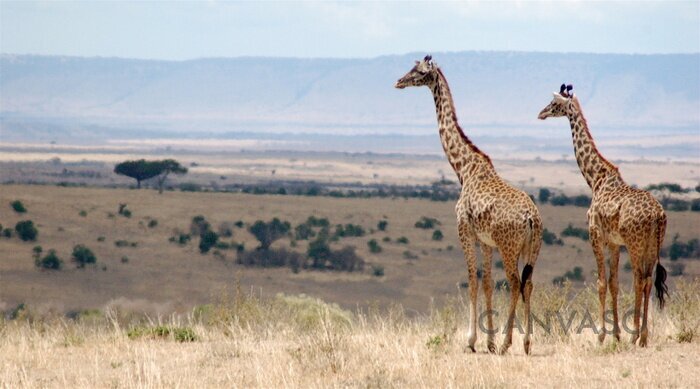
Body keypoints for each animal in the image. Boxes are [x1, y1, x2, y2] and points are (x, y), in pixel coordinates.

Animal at [394, 55, 540, 354]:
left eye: (419, 71)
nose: (399, 81)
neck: (464, 169)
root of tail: (532, 218)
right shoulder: (486, 241)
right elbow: (487, 283)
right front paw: (489, 341)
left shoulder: (464, 230)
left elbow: (472, 281)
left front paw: (473, 341)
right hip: (531, 249)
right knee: (528, 283)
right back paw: (526, 342)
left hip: (509, 247)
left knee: (514, 282)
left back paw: (508, 342)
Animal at [540, 84, 668, 346]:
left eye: (554, 103)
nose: (541, 113)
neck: (595, 179)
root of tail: (658, 216)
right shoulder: (614, 242)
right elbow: (614, 283)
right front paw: (616, 334)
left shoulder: (595, 235)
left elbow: (600, 283)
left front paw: (601, 335)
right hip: (653, 244)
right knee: (648, 280)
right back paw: (643, 337)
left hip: (635, 243)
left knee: (639, 279)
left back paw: (636, 335)